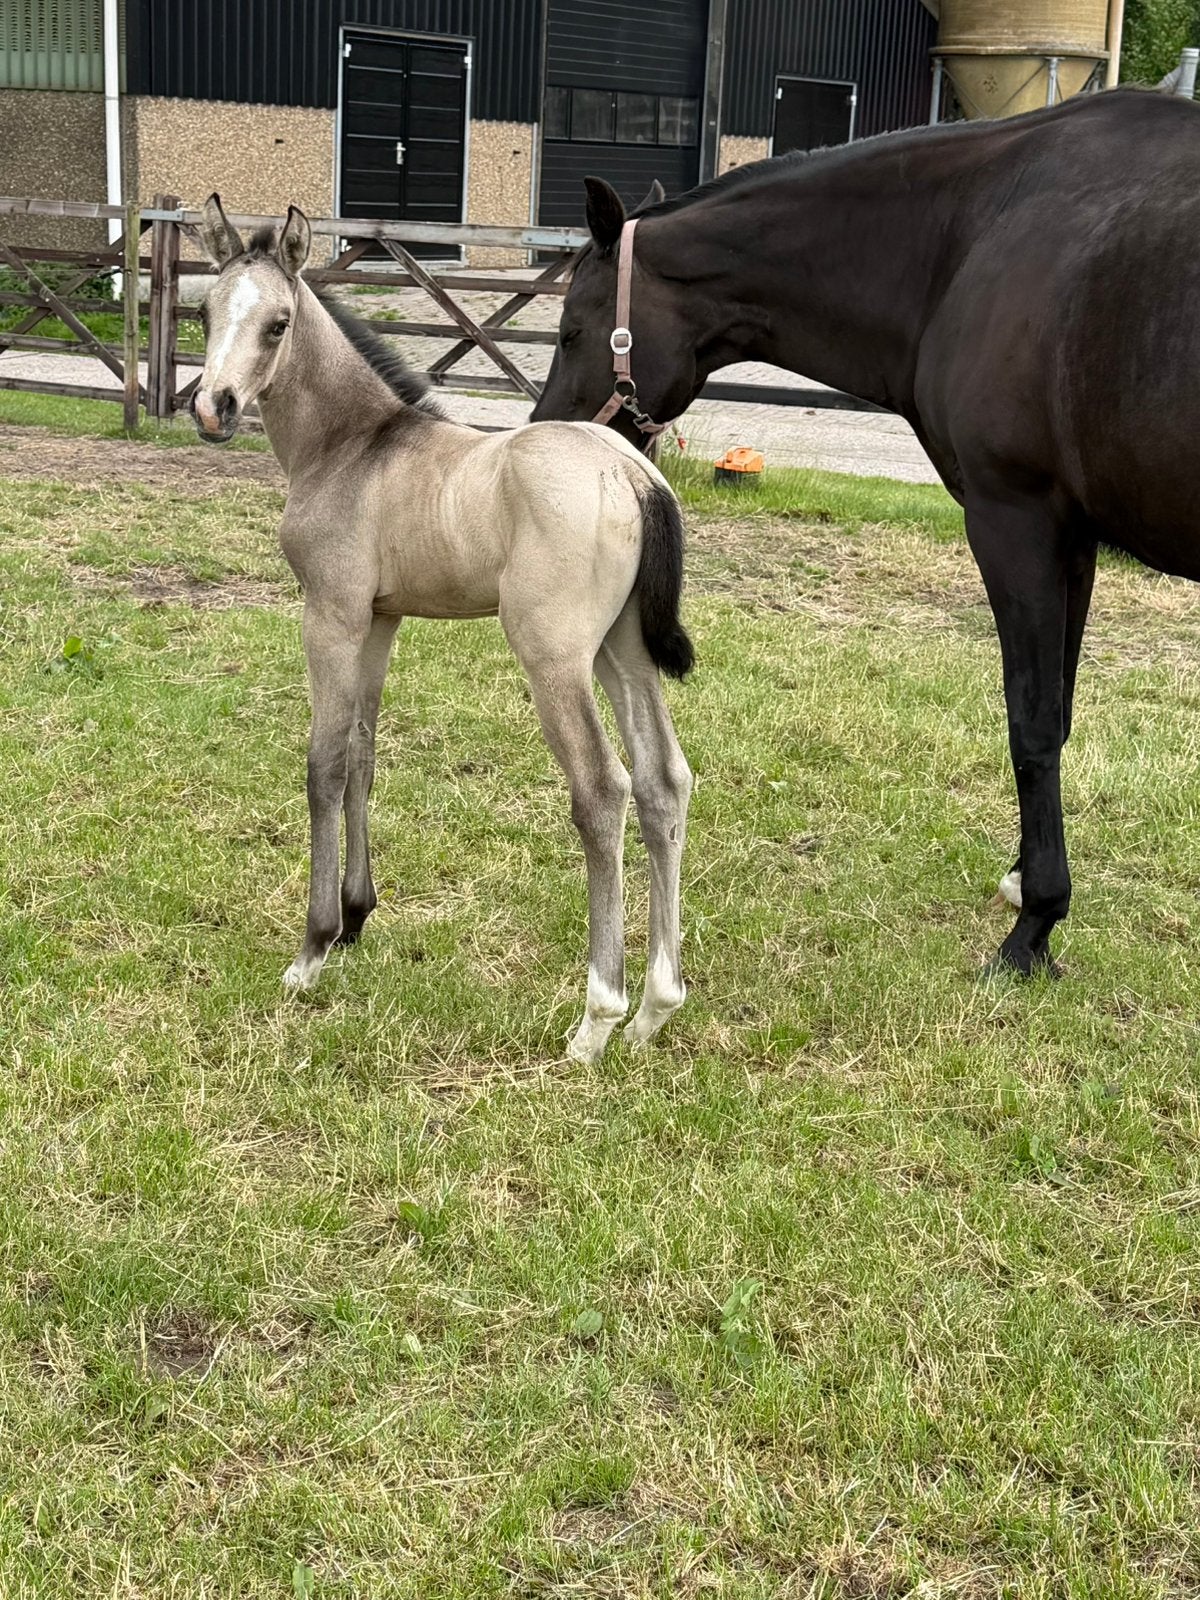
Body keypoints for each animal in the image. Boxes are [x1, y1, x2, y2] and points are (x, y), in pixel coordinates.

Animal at [191, 195, 695, 1063]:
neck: (353, 448)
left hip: (555, 657)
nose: (211, 408)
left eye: (279, 324)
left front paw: (312, 949)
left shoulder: (328, 613)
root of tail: (633, 471)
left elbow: (323, 764)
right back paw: (655, 1009)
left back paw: (596, 1019)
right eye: (207, 311)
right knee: (664, 781)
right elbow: (363, 756)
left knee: (603, 790)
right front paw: (357, 916)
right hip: (622, 650)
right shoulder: (380, 620)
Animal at [532, 87, 1200, 979]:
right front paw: (1024, 884)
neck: (970, 237)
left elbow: (1028, 719)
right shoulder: (1074, 539)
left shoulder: (1015, 522)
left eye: (571, 328)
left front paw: (1035, 927)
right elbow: (1056, 713)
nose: (542, 444)